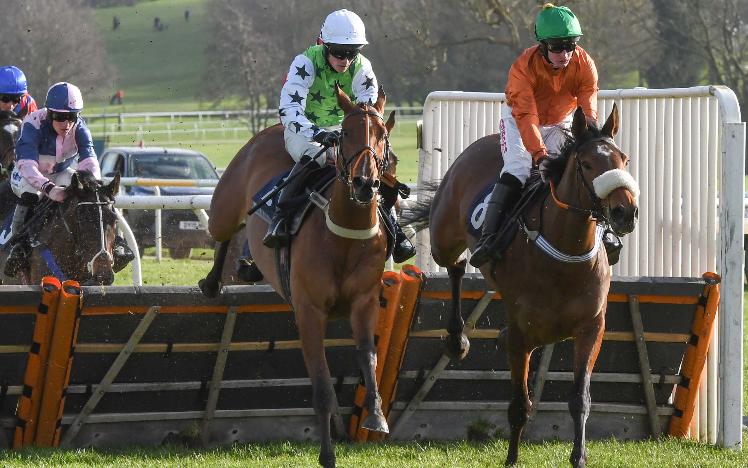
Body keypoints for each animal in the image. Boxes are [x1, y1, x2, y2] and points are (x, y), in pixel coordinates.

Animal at [202, 86, 394, 466]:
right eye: (345, 133)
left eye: (383, 135)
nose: (365, 183)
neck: (344, 234)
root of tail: (268, 132)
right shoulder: (309, 311)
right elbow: (321, 386)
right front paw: (327, 454)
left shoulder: (364, 302)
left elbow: (368, 357)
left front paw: (377, 416)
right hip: (224, 209)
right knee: (224, 232)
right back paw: (213, 280)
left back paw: (246, 264)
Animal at [410, 104, 636, 466]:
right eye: (587, 164)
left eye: (623, 159)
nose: (625, 211)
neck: (565, 255)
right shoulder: (521, 335)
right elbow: (519, 404)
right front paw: (512, 457)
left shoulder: (591, 328)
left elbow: (580, 399)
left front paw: (579, 456)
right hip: (443, 237)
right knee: (455, 265)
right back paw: (457, 339)